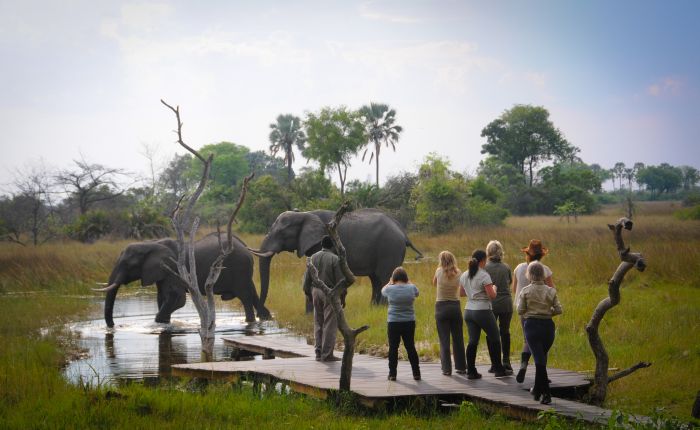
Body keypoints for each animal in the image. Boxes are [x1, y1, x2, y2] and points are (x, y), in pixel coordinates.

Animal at [97, 233, 272, 328]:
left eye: (128, 265)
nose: (114, 326)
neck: (150, 244)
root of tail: (245, 246)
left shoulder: (173, 269)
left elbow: (177, 298)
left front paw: (160, 323)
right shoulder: (163, 273)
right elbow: (161, 298)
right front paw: (165, 324)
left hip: (239, 268)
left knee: (245, 296)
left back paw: (249, 322)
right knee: (252, 293)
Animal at [249, 207, 422, 306]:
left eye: (281, 232)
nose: (262, 317)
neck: (305, 214)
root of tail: (403, 232)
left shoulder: (320, 240)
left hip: (389, 248)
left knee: (384, 277)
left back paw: (382, 308)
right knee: (375, 280)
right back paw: (374, 307)